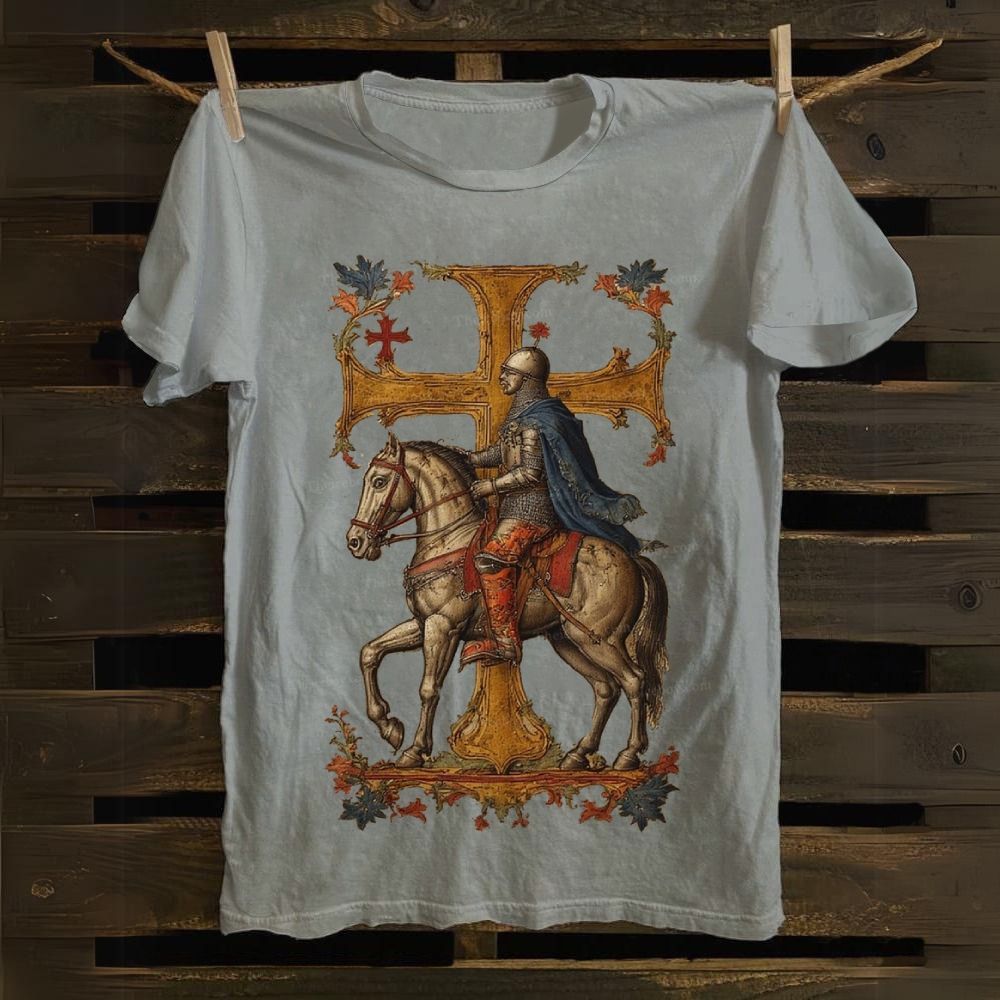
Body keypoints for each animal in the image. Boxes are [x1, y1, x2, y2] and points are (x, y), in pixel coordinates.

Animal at [345, 431, 670, 770]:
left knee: (634, 681)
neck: (449, 539)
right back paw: (578, 754)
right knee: (605, 688)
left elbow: (429, 688)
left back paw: (628, 754)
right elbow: (370, 652)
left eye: (379, 481)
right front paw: (388, 725)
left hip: (600, 639)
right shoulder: (423, 624)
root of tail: (633, 560)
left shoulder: (443, 627)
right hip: (568, 640)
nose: (355, 541)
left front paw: (415, 750)